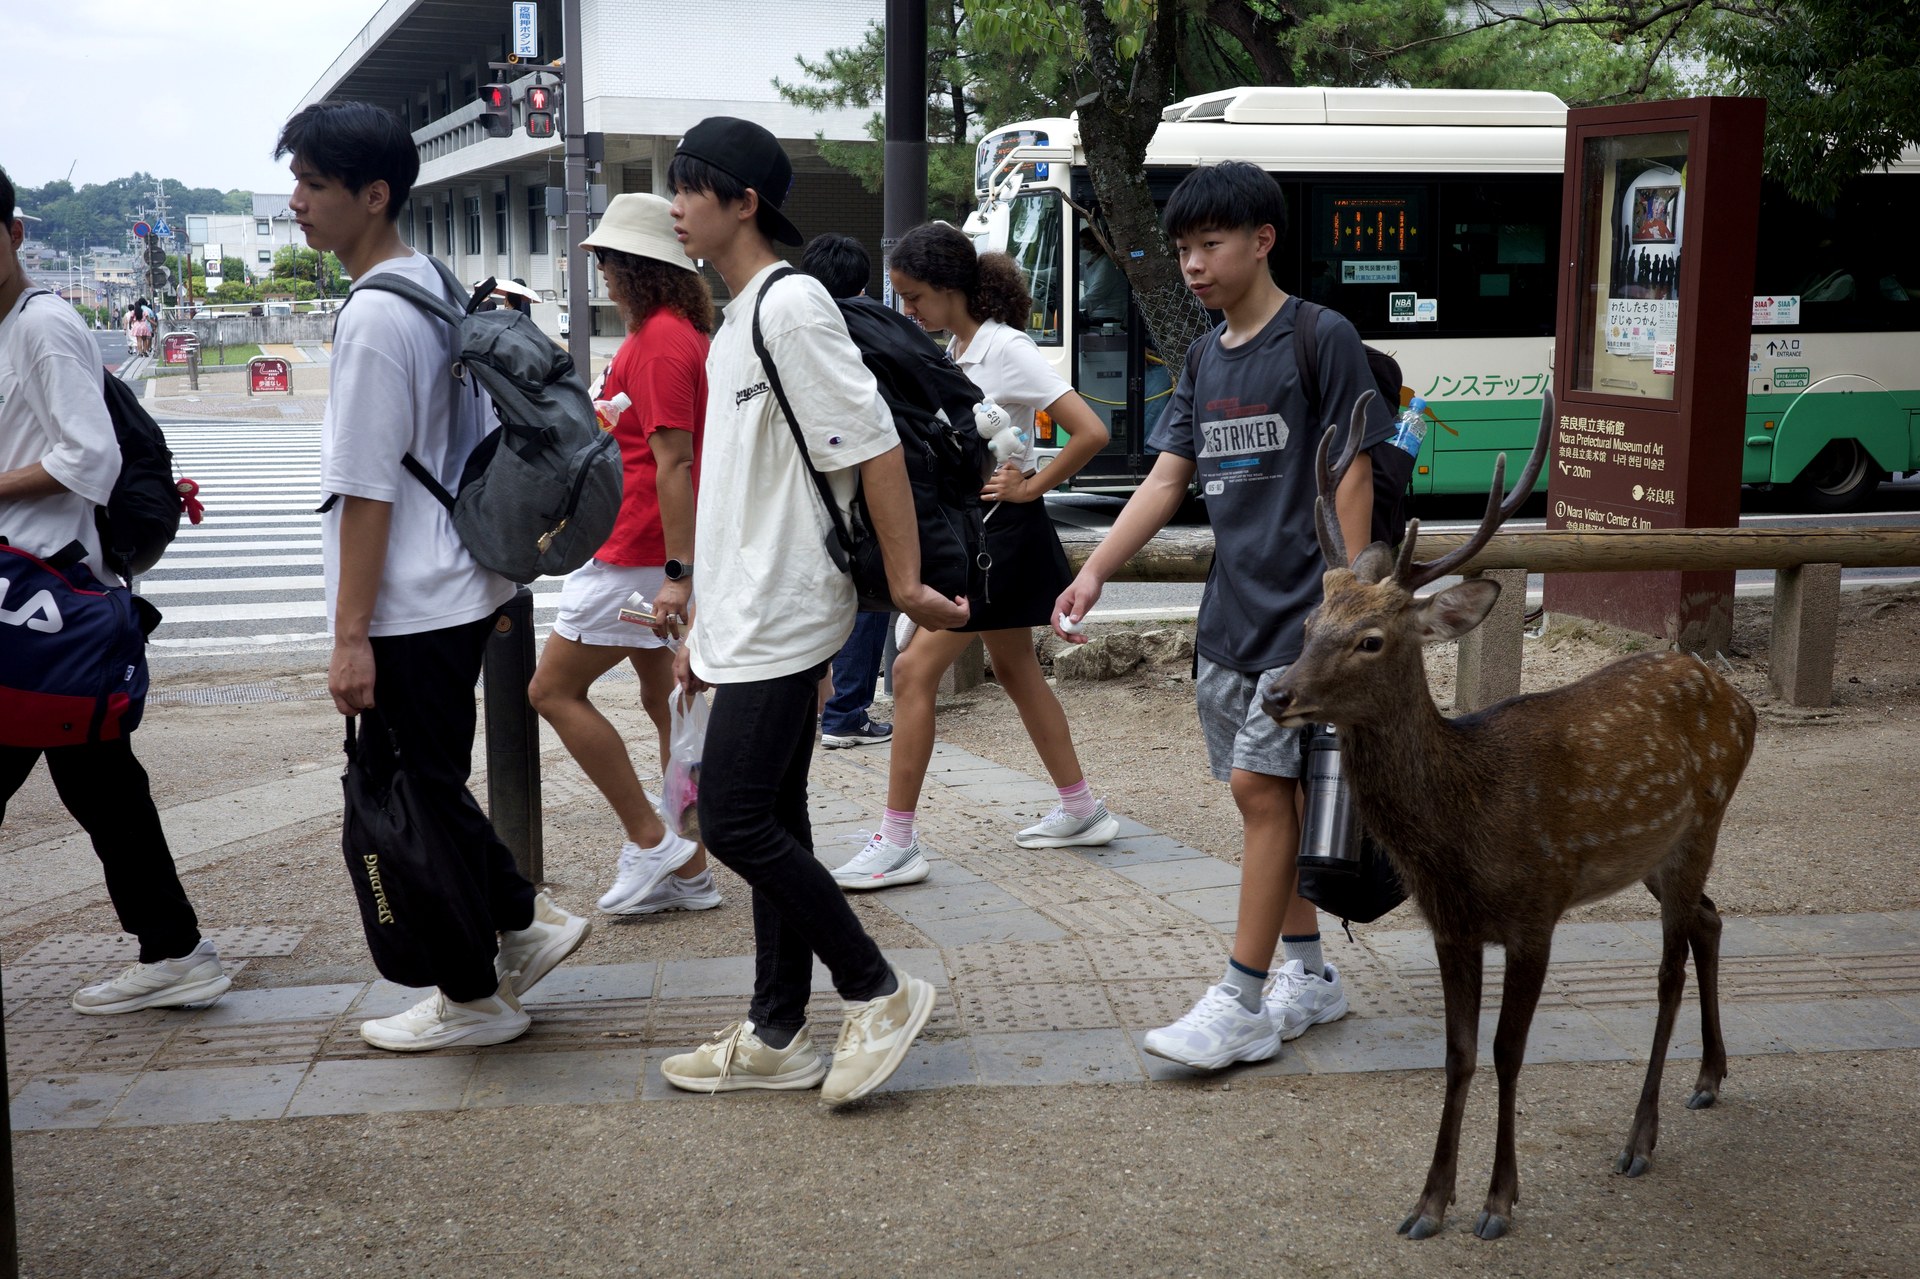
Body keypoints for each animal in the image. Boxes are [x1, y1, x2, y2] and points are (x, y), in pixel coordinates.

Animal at [1263, 390, 1757, 1242]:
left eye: (1371, 639)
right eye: (1306, 625)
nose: (1276, 692)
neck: (1467, 828)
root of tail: (1741, 700)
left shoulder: (1535, 910)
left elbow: (1507, 1050)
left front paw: (1498, 1201)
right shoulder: (1453, 925)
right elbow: (1459, 1053)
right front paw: (1429, 1203)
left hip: (1705, 821)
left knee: (1668, 972)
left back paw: (1641, 1137)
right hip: (1656, 856)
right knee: (1711, 917)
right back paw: (1711, 1075)